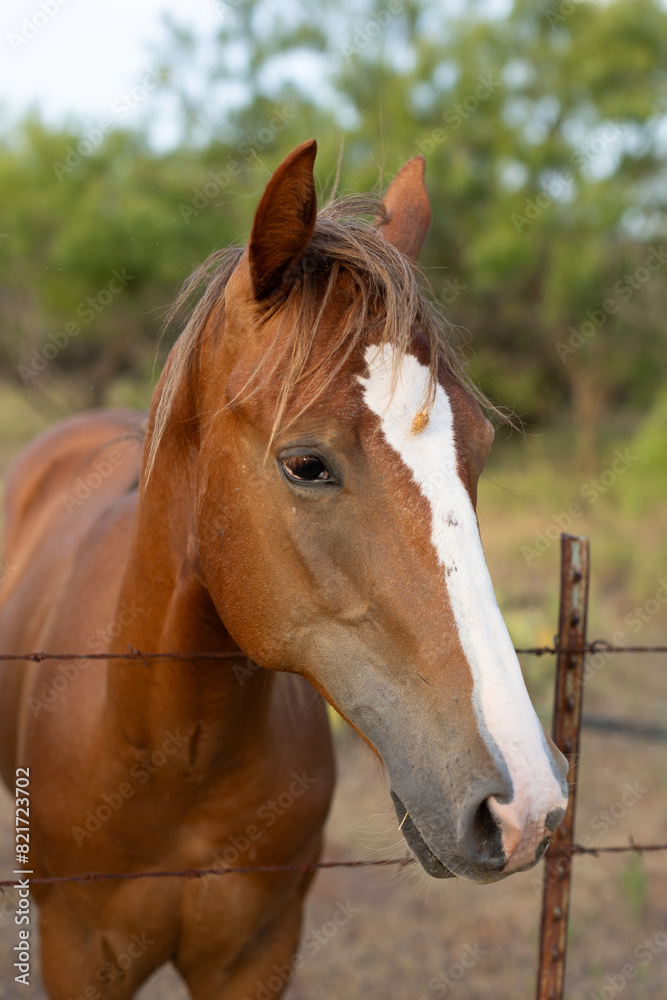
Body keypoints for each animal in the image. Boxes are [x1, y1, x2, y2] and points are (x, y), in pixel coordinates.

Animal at [0, 143, 568, 1000]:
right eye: (306, 464)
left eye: (478, 446)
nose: (525, 802)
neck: (172, 756)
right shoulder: (78, 958)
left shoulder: (259, 954)